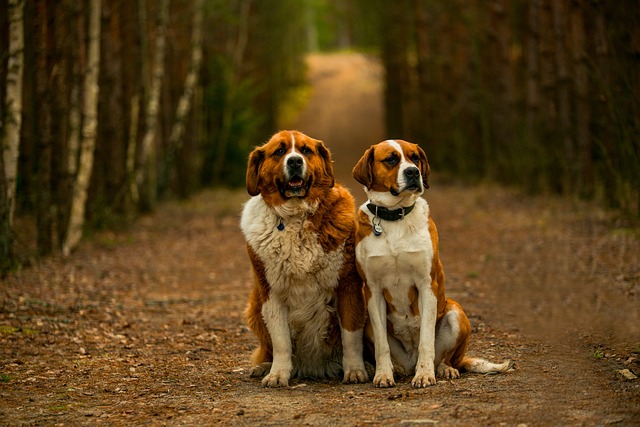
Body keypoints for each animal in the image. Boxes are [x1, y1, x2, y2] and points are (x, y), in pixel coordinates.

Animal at [240, 130, 370, 388]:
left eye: (305, 150)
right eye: (280, 151)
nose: (294, 162)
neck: (295, 216)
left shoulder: (348, 286)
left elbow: (351, 336)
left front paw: (355, 370)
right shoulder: (270, 292)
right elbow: (281, 340)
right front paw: (278, 374)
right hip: (254, 305)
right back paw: (263, 366)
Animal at [352, 140, 512, 388]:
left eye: (415, 157)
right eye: (391, 159)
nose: (412, 172)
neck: (395, 217)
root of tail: (410, 360)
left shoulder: (427, 285)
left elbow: (426, 339)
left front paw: (425, 375)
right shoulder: (372, 290)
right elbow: (381, 345)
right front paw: (383, 375)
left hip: (455, 311)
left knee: (446, 358)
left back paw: (444, 369)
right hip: (368, 321)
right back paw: (398, 369)